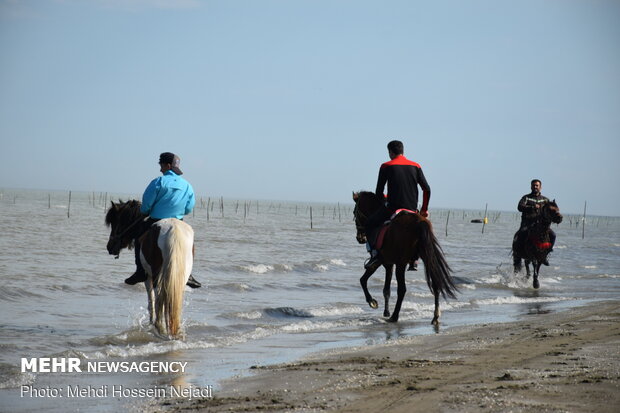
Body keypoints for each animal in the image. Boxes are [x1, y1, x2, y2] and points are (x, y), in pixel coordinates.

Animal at [104, 200, 194, 338]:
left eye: (115, 222)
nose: (109, 247)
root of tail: (173, 230)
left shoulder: (148, 276)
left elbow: (151, 301)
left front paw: (152, 323)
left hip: (156, 274)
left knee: (158, 298)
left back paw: (159, 327)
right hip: (181, 275)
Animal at [352, 192, 458, 324]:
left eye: (354, 212)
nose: (360, 238)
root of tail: (419, 222)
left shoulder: (381, 261)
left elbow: (363, 280)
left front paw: (372, 302)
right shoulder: (389, 264)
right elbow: (386, 290)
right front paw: (386, 311)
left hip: (401, 264)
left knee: (402, 289)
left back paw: (394, 316)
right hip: (428, 257)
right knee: (436, 283)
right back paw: (435, 316)